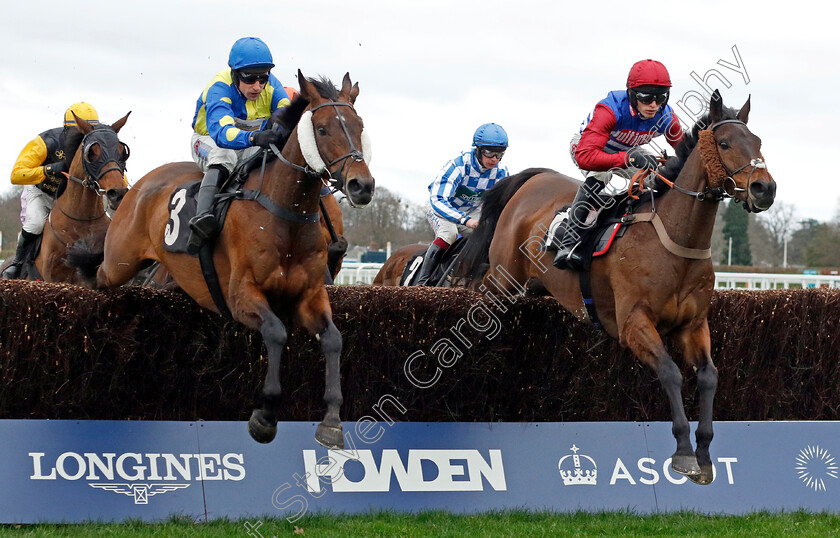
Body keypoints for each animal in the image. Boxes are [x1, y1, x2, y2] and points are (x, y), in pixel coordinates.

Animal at [70, 72, 372, 448]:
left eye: (360, 126)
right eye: (322, 129)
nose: (362, 185)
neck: (284, 211)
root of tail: (139, 185)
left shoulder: (310, 293)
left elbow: (333, 339)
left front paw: (331, 421)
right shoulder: (241, 295)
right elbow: (276, 332)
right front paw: (265, 415)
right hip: (119, 262)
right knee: (97, 274)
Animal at [460, 90, 776, 484]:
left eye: (759, 142)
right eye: (725, 143)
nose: (765, 188)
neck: (677, 240)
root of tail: (536, 178)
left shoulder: (693, 325)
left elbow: (708, 377)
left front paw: (703, 453)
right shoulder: (633, 324)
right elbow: (670, 372)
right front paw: (683, 452)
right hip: (501, 282)